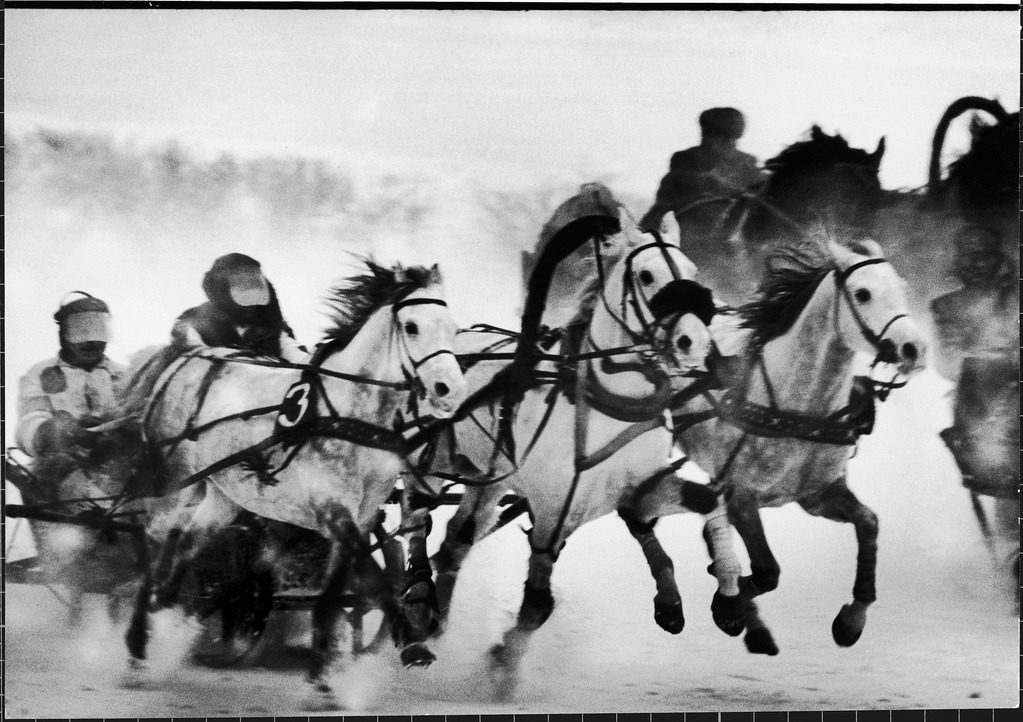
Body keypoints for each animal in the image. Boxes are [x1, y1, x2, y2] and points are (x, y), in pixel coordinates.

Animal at [120, 261, 468, 707]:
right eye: (411, 326)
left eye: (454, 329)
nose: (449, 391)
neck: (347, 415)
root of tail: (195, 354)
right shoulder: (332, 511)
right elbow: (374, 582)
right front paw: (411, 642)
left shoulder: (360, 516)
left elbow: (338, 594)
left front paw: (322, 677)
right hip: (174, 481)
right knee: (153, 541)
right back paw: (137, 645)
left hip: (223, 495)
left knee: (186, 541)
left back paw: (169, 610)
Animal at [417, 216, 744, 695]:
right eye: (646, 275)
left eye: (691, 270)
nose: (693, 342)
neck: (609, 403)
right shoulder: (554, 512)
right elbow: (537, 604)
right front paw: (503, 672)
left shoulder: (641, 488)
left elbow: (708, 502)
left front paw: (727, 598)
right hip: (431, 465)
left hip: (488, 480)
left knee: (457, 539)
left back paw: (434, 619)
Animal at [621, 236, 928, 654]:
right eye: (862, 293)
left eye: (901, 288)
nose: (915, 348)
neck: (795, 405)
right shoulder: (742, 497)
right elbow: (767, 571)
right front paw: (727, 605)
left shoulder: (819, 495)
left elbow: (869, 524)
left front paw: (853, 618)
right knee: (636, 513)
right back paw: (671, 602)